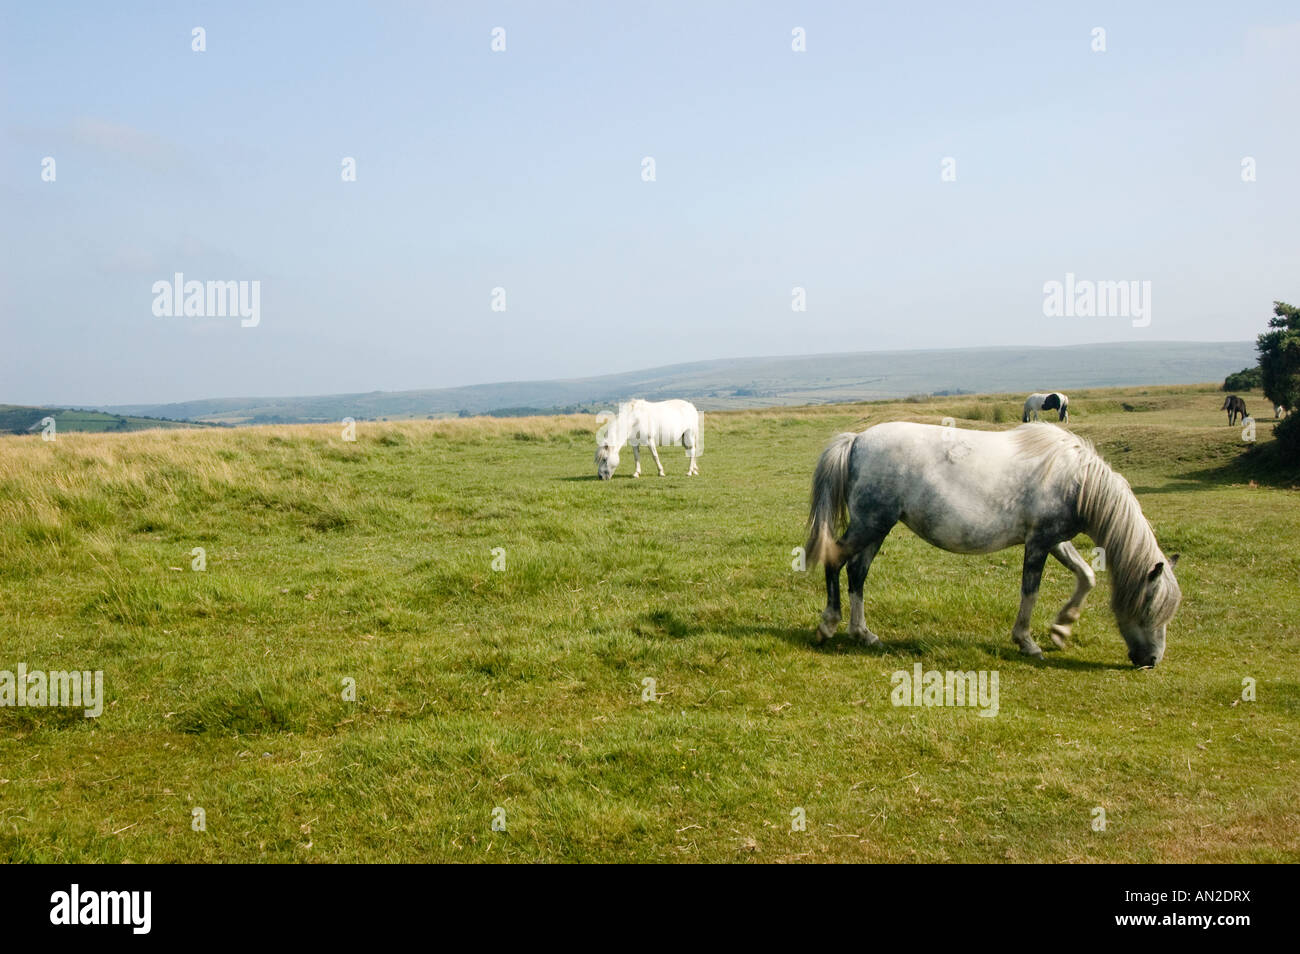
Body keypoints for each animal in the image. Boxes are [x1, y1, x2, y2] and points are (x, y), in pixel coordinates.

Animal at [804, 422, 1181, 667]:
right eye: (1150, 608)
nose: (1151, 660)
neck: (1077, 480)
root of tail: (857, 440)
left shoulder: (1055, 540)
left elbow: (1086, 575)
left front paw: (1061, 628)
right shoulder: (1039, 543)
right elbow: (1030, 591)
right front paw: (1027, 642)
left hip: (877, 528)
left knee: (857, 573)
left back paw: (863, 633)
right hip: (871, 525)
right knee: (836, 561)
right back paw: (828, 625)